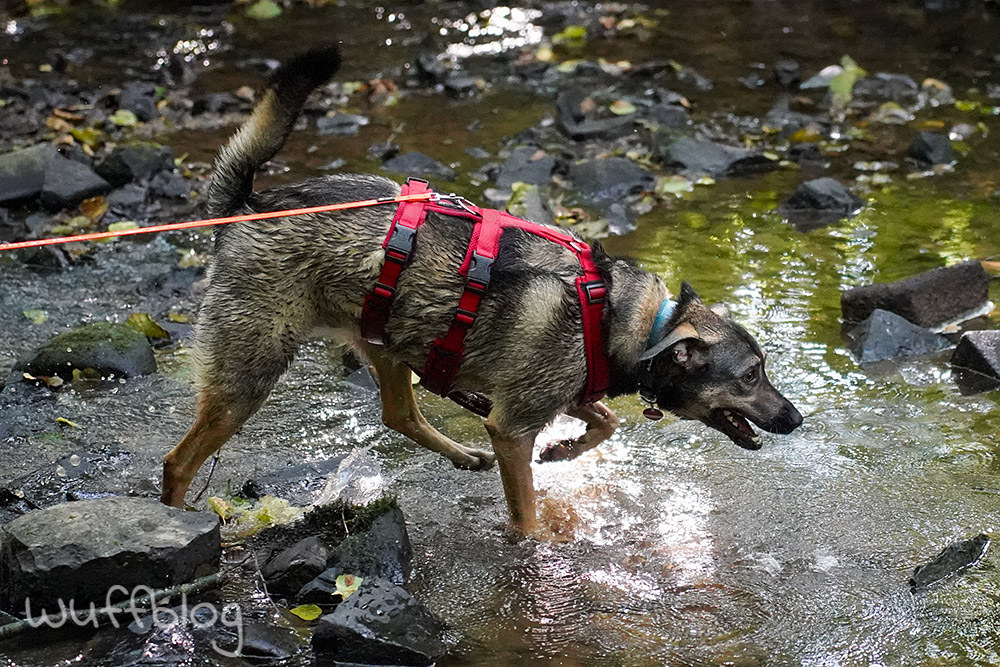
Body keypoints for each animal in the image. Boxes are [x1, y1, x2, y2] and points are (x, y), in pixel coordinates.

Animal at [164, 47, 804, 536]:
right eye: (750, 376)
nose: (797, 419)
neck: (631, 320)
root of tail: (247, 209)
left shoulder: (553, 396)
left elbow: (605, 421)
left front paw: (564, 450)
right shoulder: (511, 427)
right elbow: (527, 514)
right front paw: (536, 541)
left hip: (389, 337)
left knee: (399, 413)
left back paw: (459, 451)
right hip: (249, 375)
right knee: (177, 463)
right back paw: (178, 521)